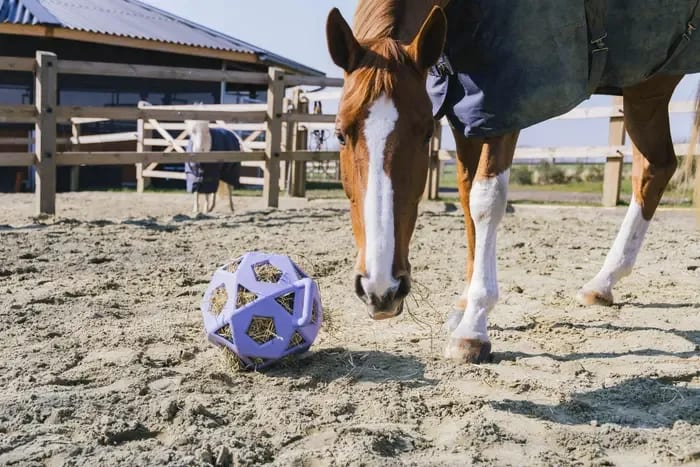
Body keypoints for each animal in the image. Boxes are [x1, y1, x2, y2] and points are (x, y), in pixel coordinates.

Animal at [325, 0, 700, 363]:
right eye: (340, 134)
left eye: (426, 134)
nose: (381, 291)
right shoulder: (467, 114)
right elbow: (467, 198)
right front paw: (464, 306)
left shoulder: (504, 107)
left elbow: (486, 201)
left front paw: (473, 327)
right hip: (645, 88)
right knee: (656, 167)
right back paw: (602, 283)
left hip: (648, 86)